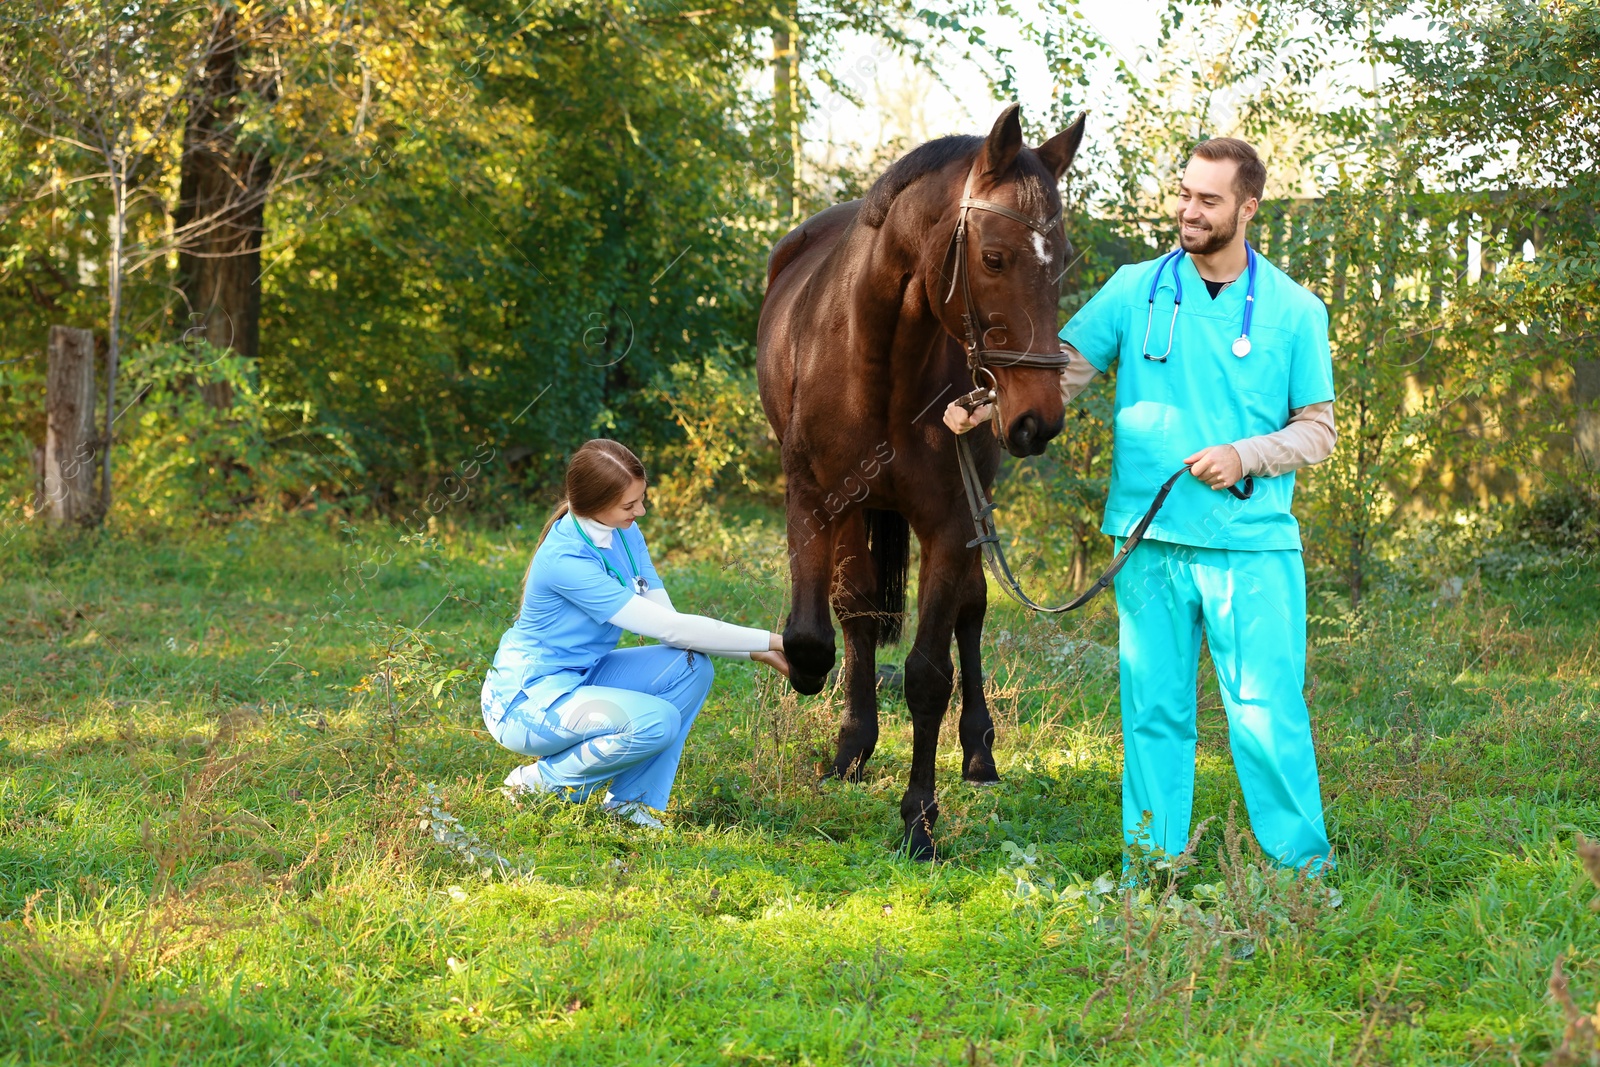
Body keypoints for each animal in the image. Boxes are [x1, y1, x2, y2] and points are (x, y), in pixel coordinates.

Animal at [758, 106, 1088, 857]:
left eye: (1061, 262)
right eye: (993, 258)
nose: (1039, 420)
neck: (880, 364)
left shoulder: (949, 523)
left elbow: (930, 673)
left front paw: (919, 820)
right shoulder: (814, 499)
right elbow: (819, 633)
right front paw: (840, 727)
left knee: (971, 610)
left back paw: (979, 749)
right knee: (856, 611)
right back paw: (852, 747)